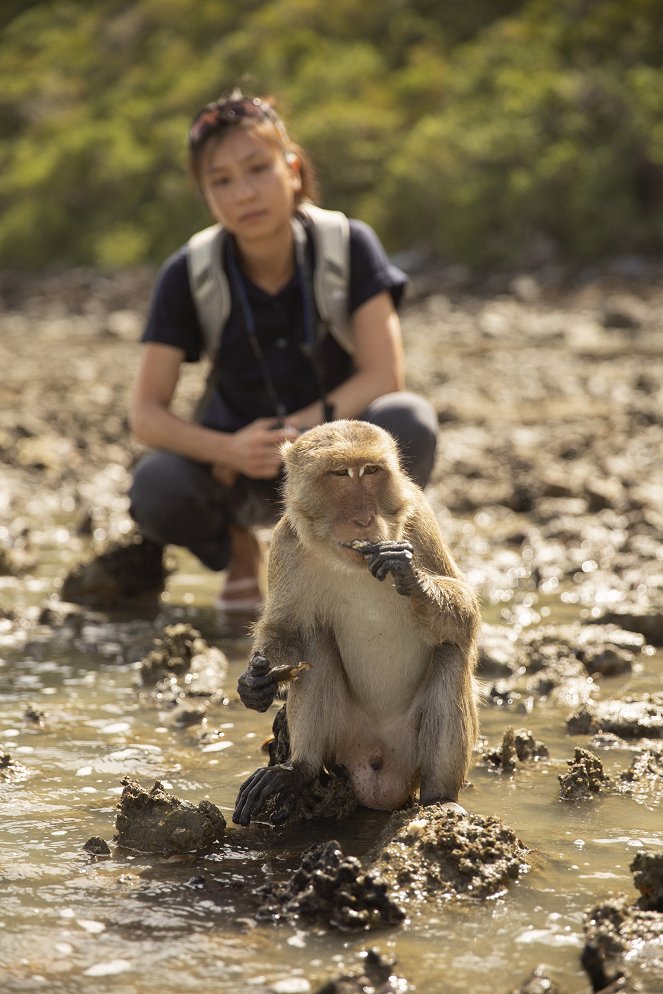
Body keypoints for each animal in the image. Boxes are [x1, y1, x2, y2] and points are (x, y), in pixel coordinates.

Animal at [231, 418, 480, 820]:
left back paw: (440, 799)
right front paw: (255, 683)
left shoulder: (419, 518)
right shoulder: (286, 544)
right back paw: (299, 769)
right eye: (339, 474)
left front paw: (412, 577)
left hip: (408, 751)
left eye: (371, 471)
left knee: (450, 652)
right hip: (344, 740)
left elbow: (467, 619)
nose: (364, 519)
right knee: (314, 642)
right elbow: (286, 628)